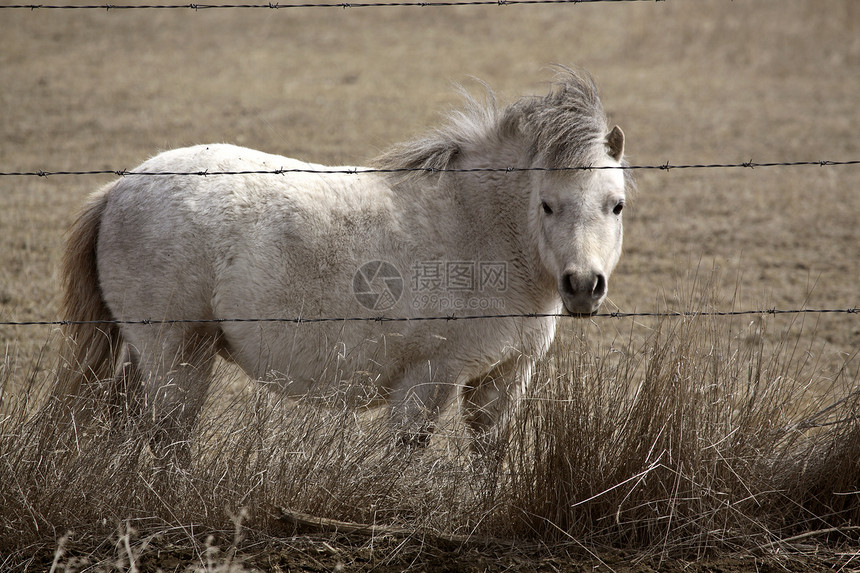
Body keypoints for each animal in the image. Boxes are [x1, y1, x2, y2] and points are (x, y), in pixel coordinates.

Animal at [58, 68, 624, 452]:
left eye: (615, 204)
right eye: (546, 204)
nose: (582, 285)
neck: (478, 225)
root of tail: (118, 189)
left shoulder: (502, 381)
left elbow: (490, 459)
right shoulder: (426, 381)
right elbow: (403, 459)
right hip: (176, 356)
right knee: (165, 440)